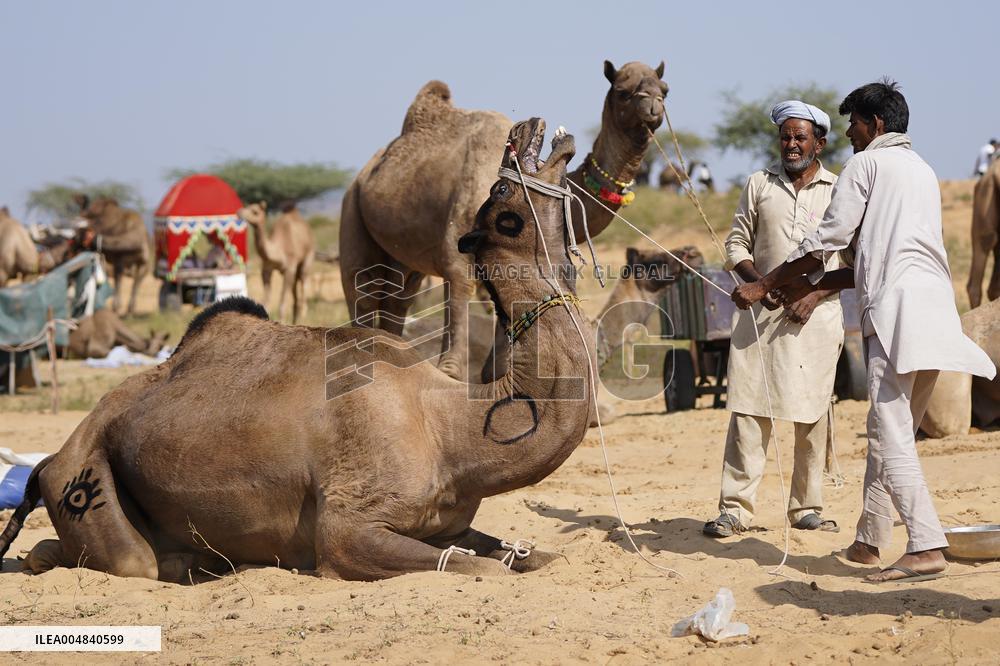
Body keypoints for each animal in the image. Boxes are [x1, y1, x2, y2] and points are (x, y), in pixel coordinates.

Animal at [0, 119, 595, 582]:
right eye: (501, 193)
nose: (533, 128)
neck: (451, 428)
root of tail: (54, 456)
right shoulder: (348, 527)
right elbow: (476, 567)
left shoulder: (453, 519)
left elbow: (528, 556)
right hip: (86, 472)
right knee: (125, 560)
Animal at [340, 60, 667, 380]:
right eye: (623, 91)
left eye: (664, 88)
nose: (653, 105)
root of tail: (362, 175)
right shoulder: (460, 241)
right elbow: (459, 299)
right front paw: (452, 371)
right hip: (352, 211)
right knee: (363, 295)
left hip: (403, 259)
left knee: (397, 300)